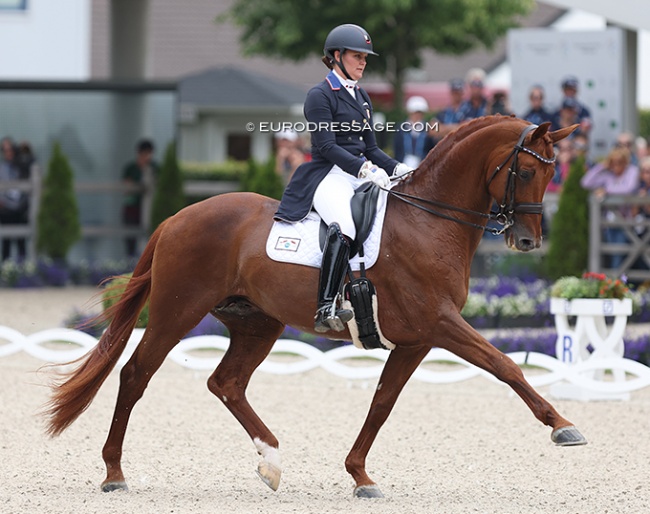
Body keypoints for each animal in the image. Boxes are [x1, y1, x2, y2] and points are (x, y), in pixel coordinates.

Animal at [44, 116, 584, 496]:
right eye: (528, 170)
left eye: (553, 172)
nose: (527, 241)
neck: (430, 220)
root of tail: (177, 217)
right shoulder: (441, 323)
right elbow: (505, 365)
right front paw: (563, 428)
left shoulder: (417, 339)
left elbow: (382, 402)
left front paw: (360, 476)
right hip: (178, 312)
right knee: (136, 375)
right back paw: (114, 473)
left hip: (257, 323)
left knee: (226, 383)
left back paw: (271, 461)